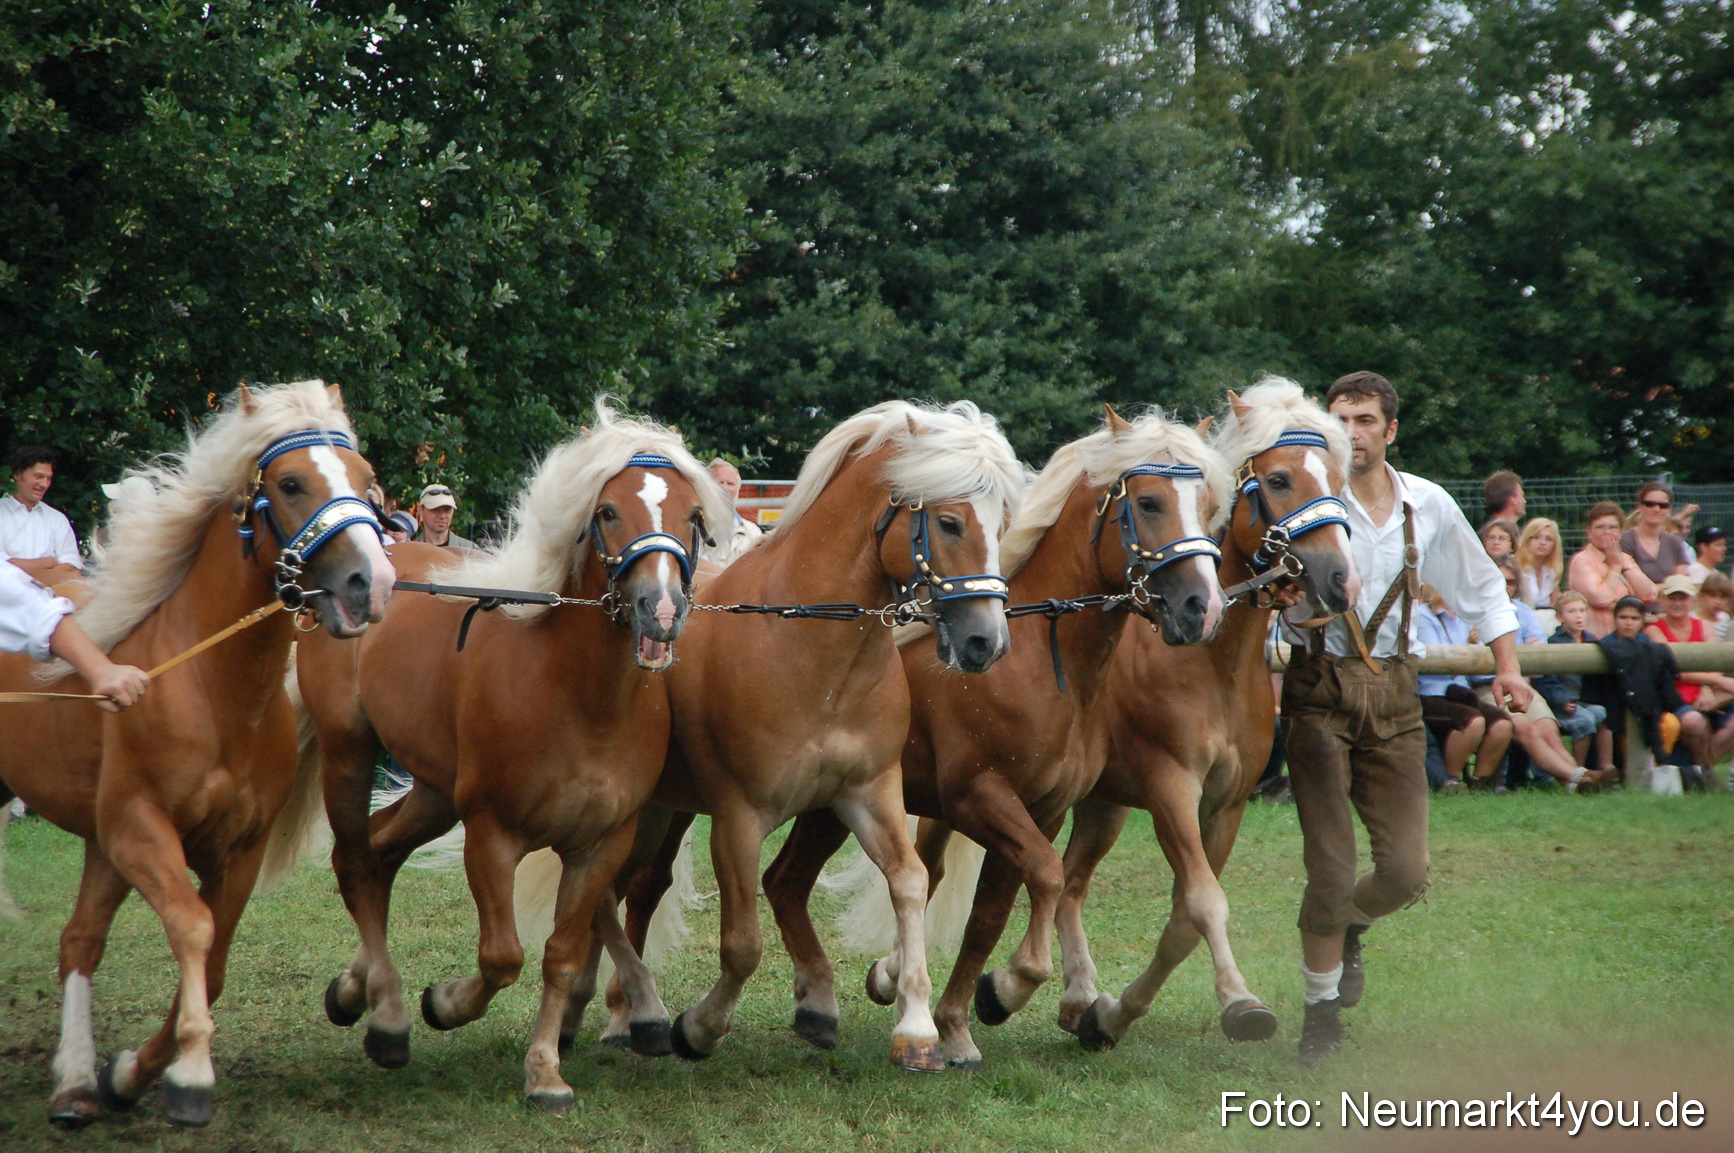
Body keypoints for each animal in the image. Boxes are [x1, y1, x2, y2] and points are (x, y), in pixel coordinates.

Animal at [0, 380, 394, 1128]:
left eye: (368, 482)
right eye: (291, 483)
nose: (373, 583)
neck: (215, 689)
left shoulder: (232, 846)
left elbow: (213, 958)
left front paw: (130, 1073)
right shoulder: (138, 827)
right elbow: (193, 926)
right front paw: (189, 1072)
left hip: (99, 841)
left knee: (80, 938)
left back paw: (75, 1082)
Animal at [295, 401, 730, 1111]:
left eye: (693, 515)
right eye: (608, 512)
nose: (660, 609)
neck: (579, 698)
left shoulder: (600, 844)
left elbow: (560, 955)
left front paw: (545, 1071)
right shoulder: (491, 835)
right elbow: (502, 957)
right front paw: (445, 1004)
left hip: (435, 790)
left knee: (381, 850)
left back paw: (357, 992)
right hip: (350, 753)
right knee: (355, 860)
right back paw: (386, 1020)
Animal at [565, 400, 1024, 1073]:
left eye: (1004, 523)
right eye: (949, 521)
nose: (985, 642)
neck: (808, 647)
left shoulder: (868, 794)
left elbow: (910, 881)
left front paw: (913, 1027)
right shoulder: (737, 818)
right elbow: (743, 944)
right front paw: (699, 1027)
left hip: (666, 810)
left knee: (635, 892)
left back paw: (616, 1014)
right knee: (606, 898)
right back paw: (623, 1013)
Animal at [765, 406, 1233, 1068]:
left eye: (1212, 505)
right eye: (1147, 501)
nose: (1202, 608)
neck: (1042, 659)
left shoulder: (1041, 810)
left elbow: (991, 914)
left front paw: (957, 1026)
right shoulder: (981, 800)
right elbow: (1047, 879)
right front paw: (1007, 989)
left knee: (814, 881)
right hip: (831, 805)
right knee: (783, 881)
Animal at [1052, 376, 1361, 1051]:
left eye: (1336, 478)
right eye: (1278, 479)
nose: (1341, 579)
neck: (1210, 665)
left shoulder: (1225, 805)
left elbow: (1184, 917)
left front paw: (1111, 1014)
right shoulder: (1171, 789)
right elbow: (1203, 902)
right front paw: (1242, 1003)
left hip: (1103, 808)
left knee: (1066, 886)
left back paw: (1072, 995)